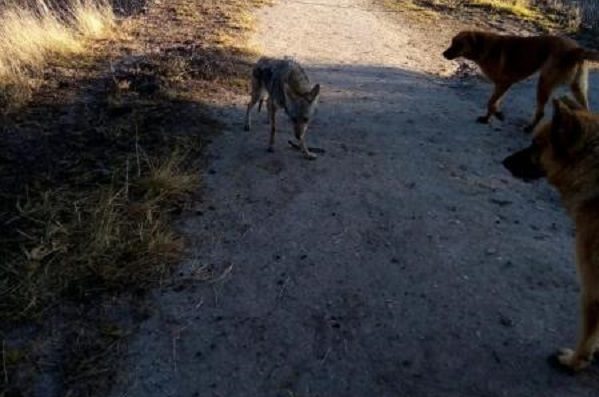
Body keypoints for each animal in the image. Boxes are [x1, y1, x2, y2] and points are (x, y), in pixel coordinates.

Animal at [446, 32, 599, 131]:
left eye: (458, 44)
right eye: (452, 42)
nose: (443, 54)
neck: (484, 47)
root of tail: (576, 49)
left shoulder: (504, 83)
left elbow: (491, 103)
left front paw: (496, 115)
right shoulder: (500, 86)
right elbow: (495, 103)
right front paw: (488, 118)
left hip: (544, 83)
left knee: (540, 112)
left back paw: (530, 128)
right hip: (577, 87)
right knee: (586, 109)